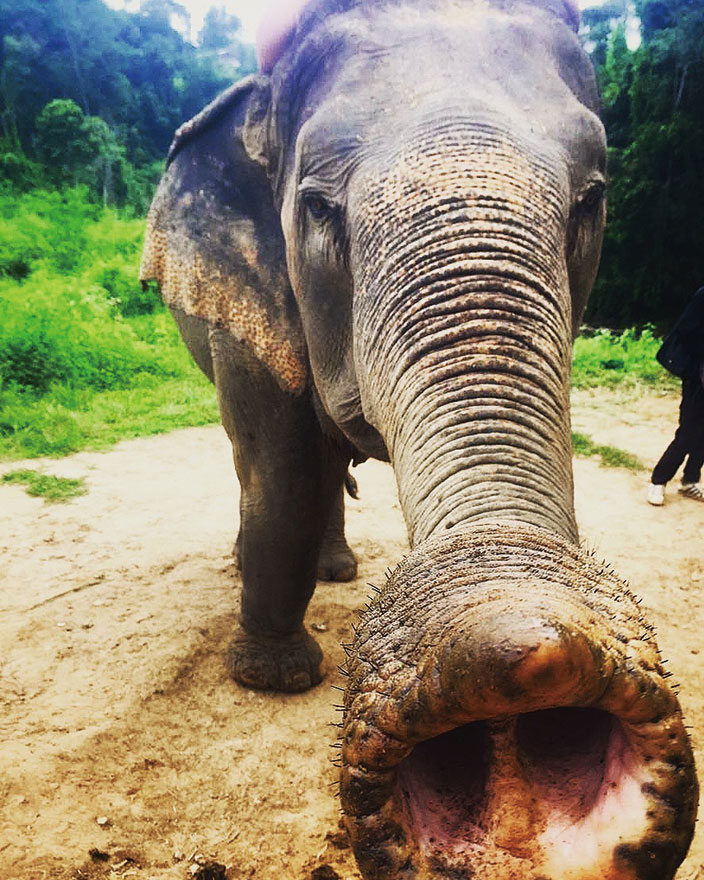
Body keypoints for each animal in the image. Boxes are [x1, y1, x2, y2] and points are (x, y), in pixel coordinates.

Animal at [139, 0, 700, 876]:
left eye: (591, 200)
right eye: (317, 208)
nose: (526, 667)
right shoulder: (250, 297)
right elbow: (284, 469)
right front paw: (274, 680)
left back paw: (337, 570)